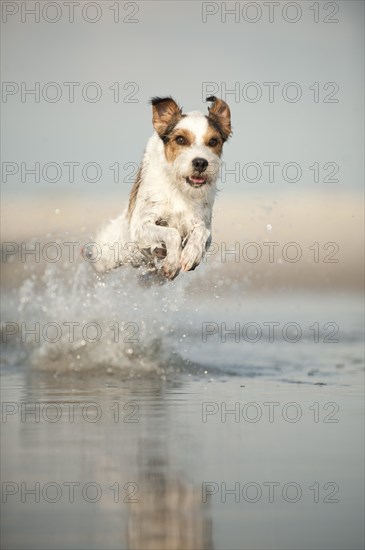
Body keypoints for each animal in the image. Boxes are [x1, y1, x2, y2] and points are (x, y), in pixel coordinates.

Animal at [92, 95, 232, 282]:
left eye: (213, 141)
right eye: (180, 139)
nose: (200, 162)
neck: (178, 187)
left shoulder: (202, 222)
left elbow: (202, 232)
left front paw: (191, 254)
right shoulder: (141, 225)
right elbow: (171, 232)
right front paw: (172, 261)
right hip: (107, 254)